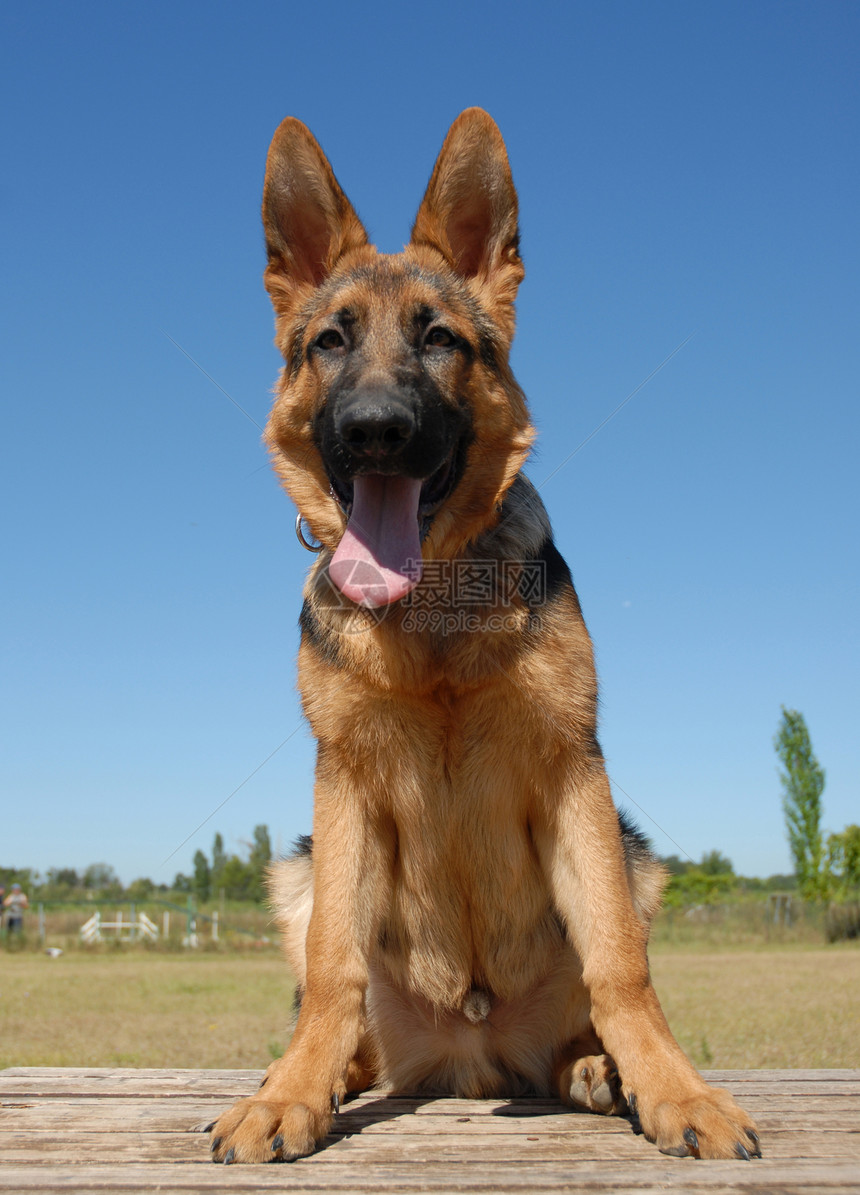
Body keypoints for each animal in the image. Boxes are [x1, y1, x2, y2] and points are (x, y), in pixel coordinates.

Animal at [207, 109, 759, 1156]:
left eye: (439, 339)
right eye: (330, 342)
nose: (376, 428)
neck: (432, 613)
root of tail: (467, 1054)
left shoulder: (574, 769)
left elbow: (622, 967)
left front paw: (677, 1090)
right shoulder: (344, 783)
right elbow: (334, 967)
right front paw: (292, 1091)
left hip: (636, 856)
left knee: (590, 998)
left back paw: (599, 1070)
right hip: (298, 869)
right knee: (345, 1010)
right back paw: (322, 1071)